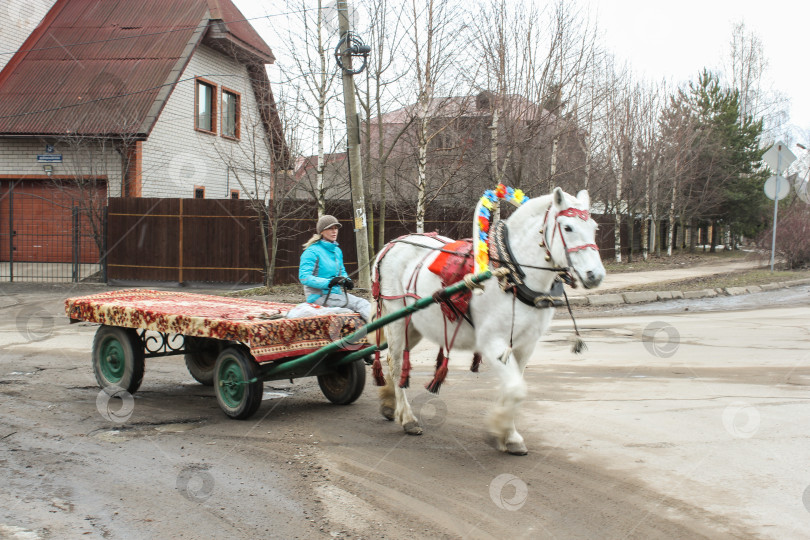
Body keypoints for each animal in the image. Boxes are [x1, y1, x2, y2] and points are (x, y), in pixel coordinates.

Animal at [370, 188, 604, 454]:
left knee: (391, 359)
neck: (511, 275)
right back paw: (408, 418)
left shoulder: (526, 344)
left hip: (415, 326)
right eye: (567, 227)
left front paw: (509, 434)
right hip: (397, 319)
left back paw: (390, 403)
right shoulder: (492, 341)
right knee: (397, 363)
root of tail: (391, 245)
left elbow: (513, 386)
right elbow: (516, 388)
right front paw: (500, 429)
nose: (595, 276)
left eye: (594, 227)